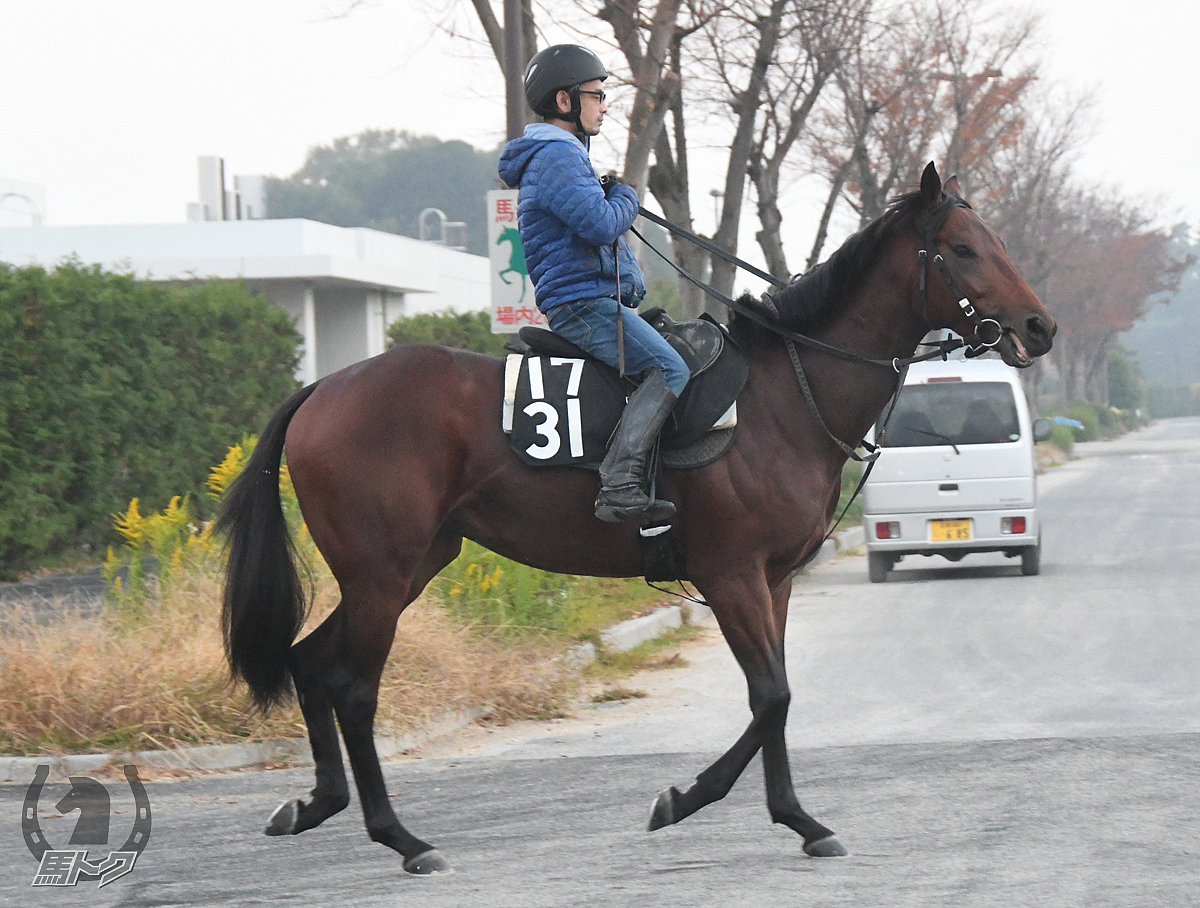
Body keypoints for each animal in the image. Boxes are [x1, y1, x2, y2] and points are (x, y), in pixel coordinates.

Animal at [216, 163, 1051, 873]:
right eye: (964, 249)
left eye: (999, 243)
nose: (1040, 326)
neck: (787, 394)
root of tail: (324, 389)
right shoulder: (731, 575)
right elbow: (771, 696)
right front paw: (688, 800)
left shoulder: (773, 581)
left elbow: (776, 697)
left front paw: (795, 819)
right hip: (383, 571)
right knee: (354, 687)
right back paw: (402, 838)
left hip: (410, 563)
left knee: (312, 663)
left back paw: (315, 804)